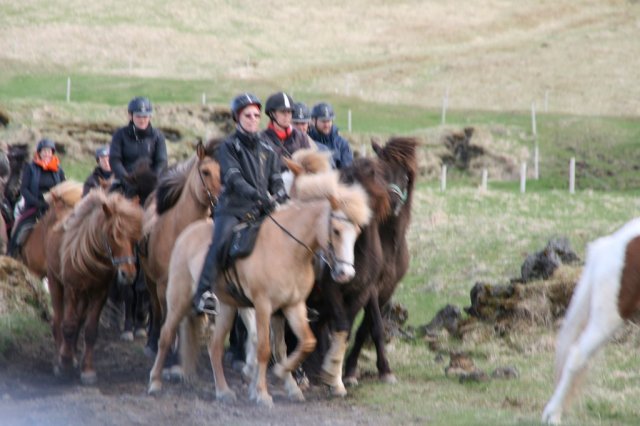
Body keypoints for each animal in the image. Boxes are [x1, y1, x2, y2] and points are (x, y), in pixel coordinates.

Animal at [46, 189, 144, 382]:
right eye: (113, 235)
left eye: (134, 238)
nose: (128, 273)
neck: (89, 255)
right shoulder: (72, 288)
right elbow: (67, 325)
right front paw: (64, 362)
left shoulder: (100, 292)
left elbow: (90, 330)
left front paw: (87, 369)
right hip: (55, 282)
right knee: (58, 320)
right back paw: (61, 355)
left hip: (85, 295)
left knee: (79, 321)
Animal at [140, 138, 222, 354]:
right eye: (205, 172)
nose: (220, 202)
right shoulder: (163, 284)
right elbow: (166, 316)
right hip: (150, 279)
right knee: (156, 309)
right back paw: (152, 341)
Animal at [149, 176, 370, 406]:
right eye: (336, 230)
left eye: (357, 232)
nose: (345, 273)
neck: (288, 248)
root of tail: (187, 232)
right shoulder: (264, 306)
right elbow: (264, 349)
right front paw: (263, 394)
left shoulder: (293, 306)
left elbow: (307, 342)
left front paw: (282, 375)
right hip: (178, 297)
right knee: (166, 335)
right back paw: (155, 382)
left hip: (227, 307)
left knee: (215, 346)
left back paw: (223, 391)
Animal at [302, 136, 418, 396]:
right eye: (383, 172)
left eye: (406, 176)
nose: (392, 202)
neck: (387, 240)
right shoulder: (370, 289)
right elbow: (374, 325)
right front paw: (351, 372)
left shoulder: (385, 289)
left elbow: (367, 328)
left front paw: (374, 369)